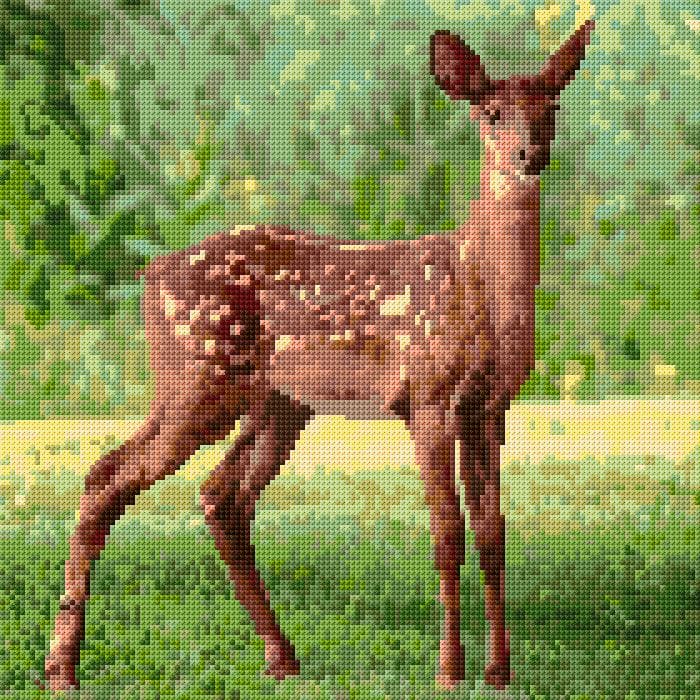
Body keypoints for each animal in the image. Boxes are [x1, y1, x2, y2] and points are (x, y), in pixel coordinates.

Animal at [44, 20, 594, 692]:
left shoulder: (491, 407)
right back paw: (62, 668)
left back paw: (281, 658)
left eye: (551, 108)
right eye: (490, 113)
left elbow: (493, 533)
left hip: (275, 403)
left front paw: (499, 672)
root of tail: (148, 276)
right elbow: (447, 532)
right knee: (108, 475)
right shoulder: (428, 396)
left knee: (219, 497)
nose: (529, 156)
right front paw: (448, 670)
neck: (478, 284)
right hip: (199, 379)